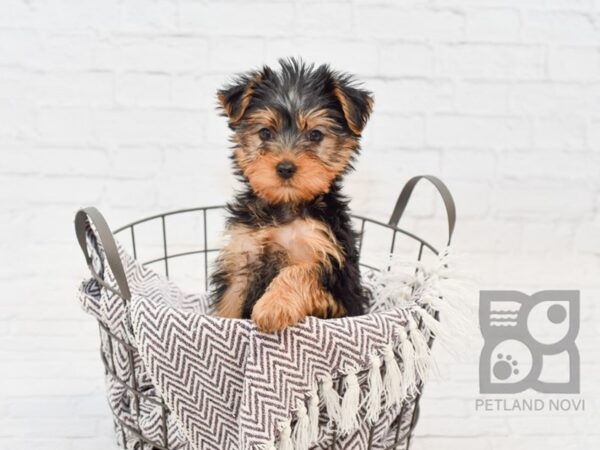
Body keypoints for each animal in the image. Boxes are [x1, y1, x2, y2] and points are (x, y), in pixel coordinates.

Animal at [209, 58, 372, 332]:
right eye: (265, 133)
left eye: (315, 135)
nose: (285, 167)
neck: (285, 207)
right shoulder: (242, 257)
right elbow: (230, 301)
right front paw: (222, 323)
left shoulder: (332, 273)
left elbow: (299, 272)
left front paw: (272, 307)